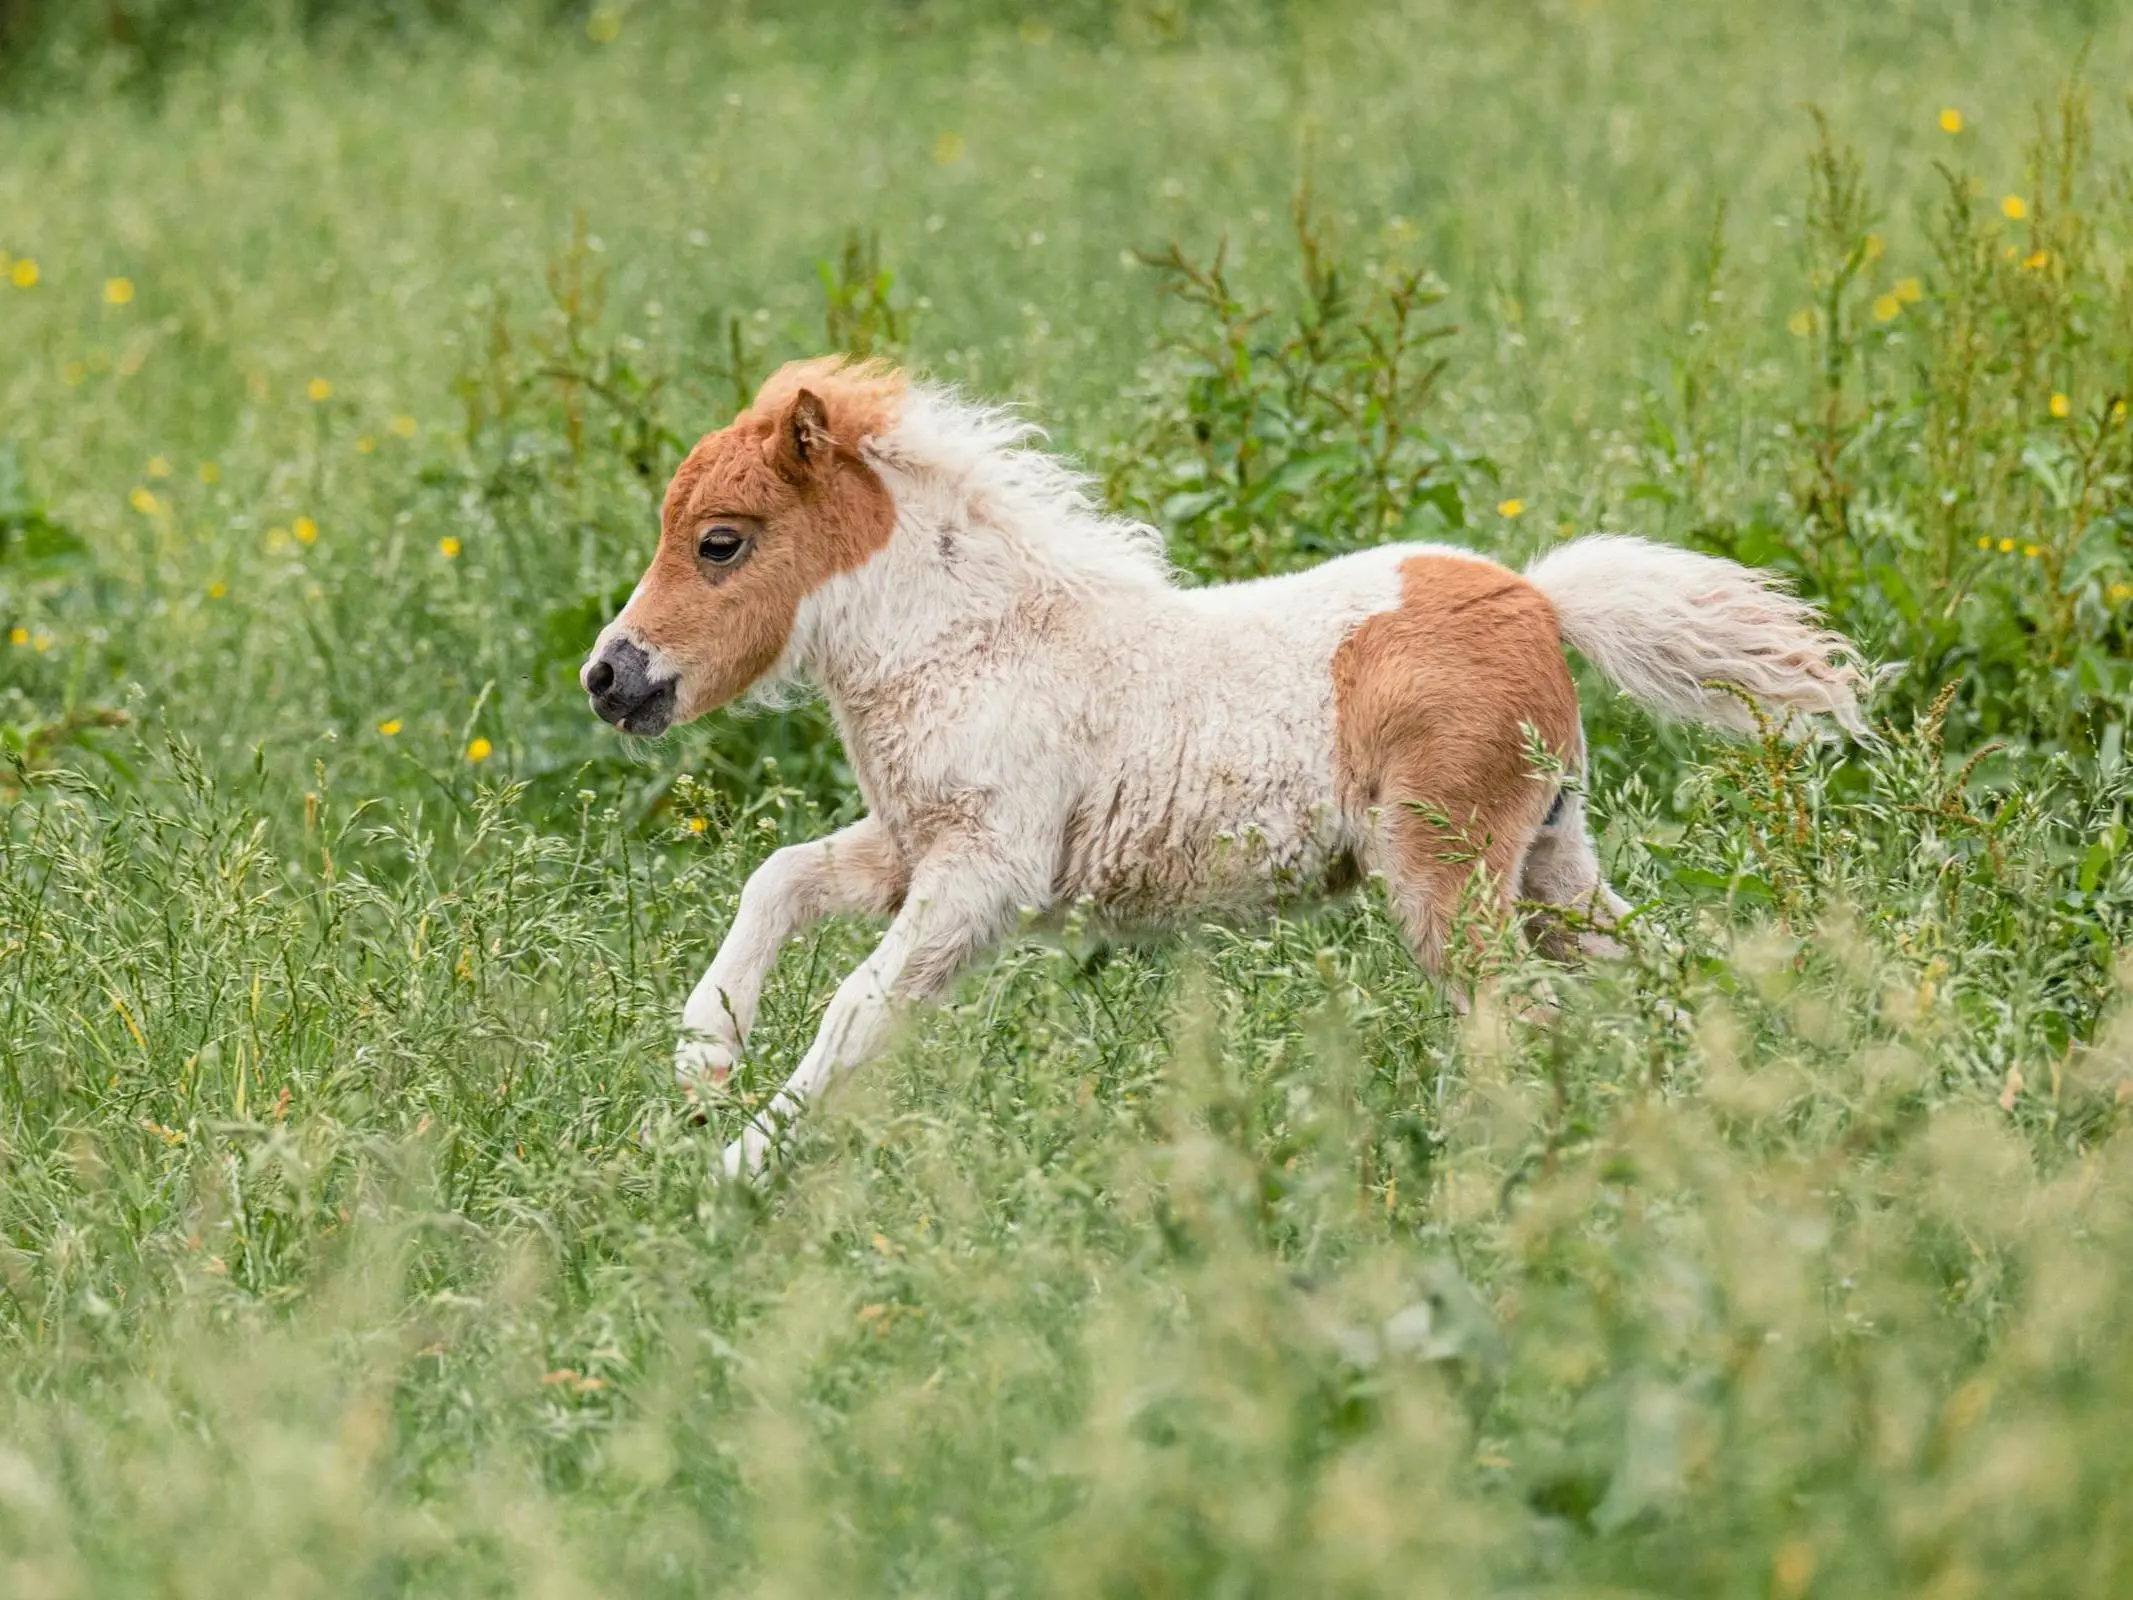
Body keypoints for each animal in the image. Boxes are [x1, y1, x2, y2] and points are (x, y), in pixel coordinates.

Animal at [575, 356, 1859, 1177]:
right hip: (1551, 860)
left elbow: (859, 1004)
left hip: (1445, 873)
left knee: (1522, 1011)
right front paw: (701, 1064)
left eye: (720, 542)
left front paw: (737, 1169)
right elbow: (779, 878)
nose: (609, 676)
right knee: (1654, 974)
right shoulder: (914, 843)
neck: (976, 642)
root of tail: (1539, 597)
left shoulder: (984, 874)